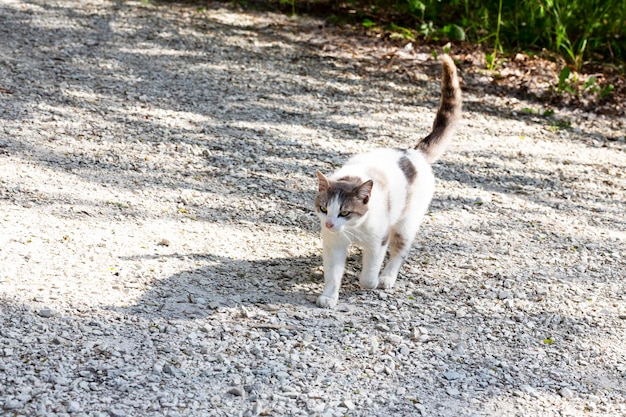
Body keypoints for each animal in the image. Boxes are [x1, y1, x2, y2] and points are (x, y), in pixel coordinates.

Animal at [314, 54, 460, 308]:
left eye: (345, 212)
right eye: (324, 208)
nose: (330, 223)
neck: (354, 229)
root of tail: (414, 153)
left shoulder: (377, 240)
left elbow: (370, 271)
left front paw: (371, 282)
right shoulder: (334, 243)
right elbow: (333, 272)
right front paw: (329, 296)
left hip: (407, 222)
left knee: (400, 249)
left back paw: (387, 277)